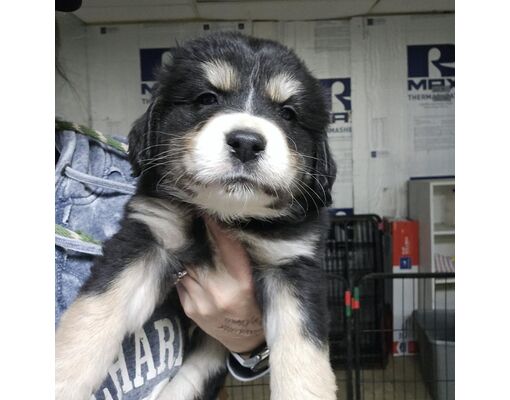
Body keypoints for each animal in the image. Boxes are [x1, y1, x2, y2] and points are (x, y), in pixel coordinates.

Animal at [55, 32, 336, 400]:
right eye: (207, 98)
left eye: (288, 113)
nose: (246, 143)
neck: (227, 214)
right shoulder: (150, 233)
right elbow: (93, 312)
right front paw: (59, 379)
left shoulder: (292, 264)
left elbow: (304, 358)